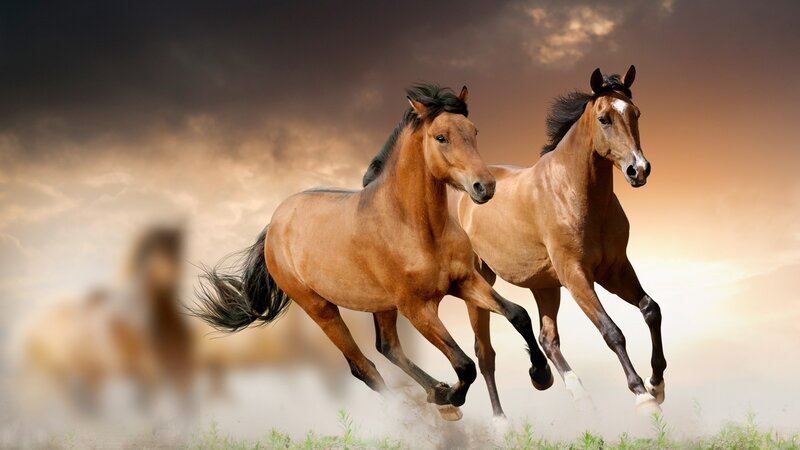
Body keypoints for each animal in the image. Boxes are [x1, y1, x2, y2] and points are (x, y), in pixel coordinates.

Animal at [193, 84, 553, 421]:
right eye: (441, 137)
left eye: (474, 131)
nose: (485, 187)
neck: (416, 227)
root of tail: (274, 224)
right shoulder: (417, 308)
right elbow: (464, 364)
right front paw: (452, 395)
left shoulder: (464, 281)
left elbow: (518, 314)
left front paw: (541, 375)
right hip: (321, 308)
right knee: (363, 366)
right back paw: (425, 409)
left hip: (381, 305)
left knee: (387, 347)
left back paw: (436, 393)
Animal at [456, 66, 666, 416]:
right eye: (604, 118)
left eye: (635, 113)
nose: (639, 170)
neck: (573, 192)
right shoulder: (576, 276)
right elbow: (612, 331)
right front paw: (642, 396)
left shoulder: (615, 270)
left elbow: (651, 309)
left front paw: (657, 383)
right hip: (479, 285)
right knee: (485, 354)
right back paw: (502, 421)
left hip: (544, 286)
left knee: (546, 338)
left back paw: (574, 392)